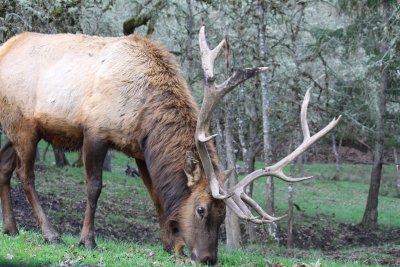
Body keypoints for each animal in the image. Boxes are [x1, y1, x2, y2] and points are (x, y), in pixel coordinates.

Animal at [0, 25, 340, 266]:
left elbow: (157, 195)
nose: (208, 259)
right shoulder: (95, 132)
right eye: (202, 209)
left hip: (14, 130)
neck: (145, 112)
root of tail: (5, 48)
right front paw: (87, 240)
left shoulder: (140, 149)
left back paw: (12, 228)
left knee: (4, 166)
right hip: (25, 125)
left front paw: (170, 244)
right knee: (26, 176)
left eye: (223, 215)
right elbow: (94, 187)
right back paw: (50, 233)